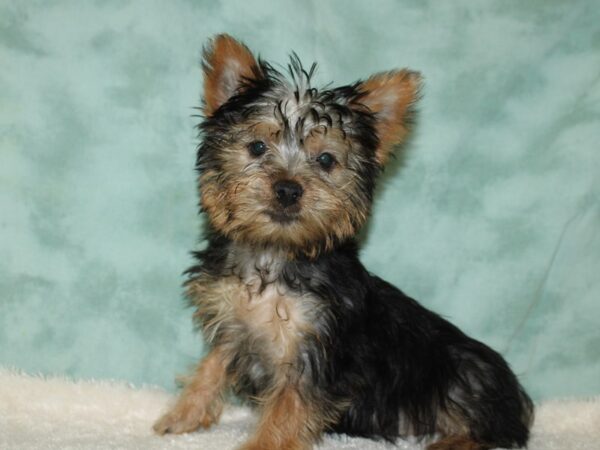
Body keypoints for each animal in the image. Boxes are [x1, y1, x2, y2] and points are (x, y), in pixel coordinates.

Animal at [155, 35, 536, 450]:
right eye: (256, 147)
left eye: (326, 160)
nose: (287, 189)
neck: (275, 252)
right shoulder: (233, 322)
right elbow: (214, 362)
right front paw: (184, 413)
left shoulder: (316, 350)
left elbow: (288, 406)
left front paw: (263, 443)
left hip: (464, 372)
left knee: (490, 427)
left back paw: (452, 440)